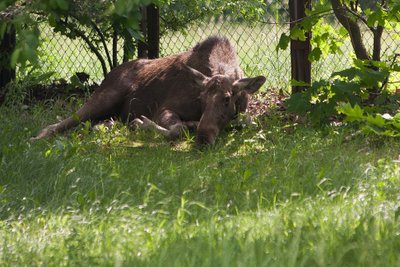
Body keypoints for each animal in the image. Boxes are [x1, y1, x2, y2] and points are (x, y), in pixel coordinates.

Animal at [34, 35, 266, 147]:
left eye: (227, 99)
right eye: (201, 99)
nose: (203, 138)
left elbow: (248, 121)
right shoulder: (164, 108)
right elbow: (177, 129)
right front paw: (141, 124)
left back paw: (106, 126)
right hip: (105, 97)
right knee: (61, 123)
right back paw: (38, 137)